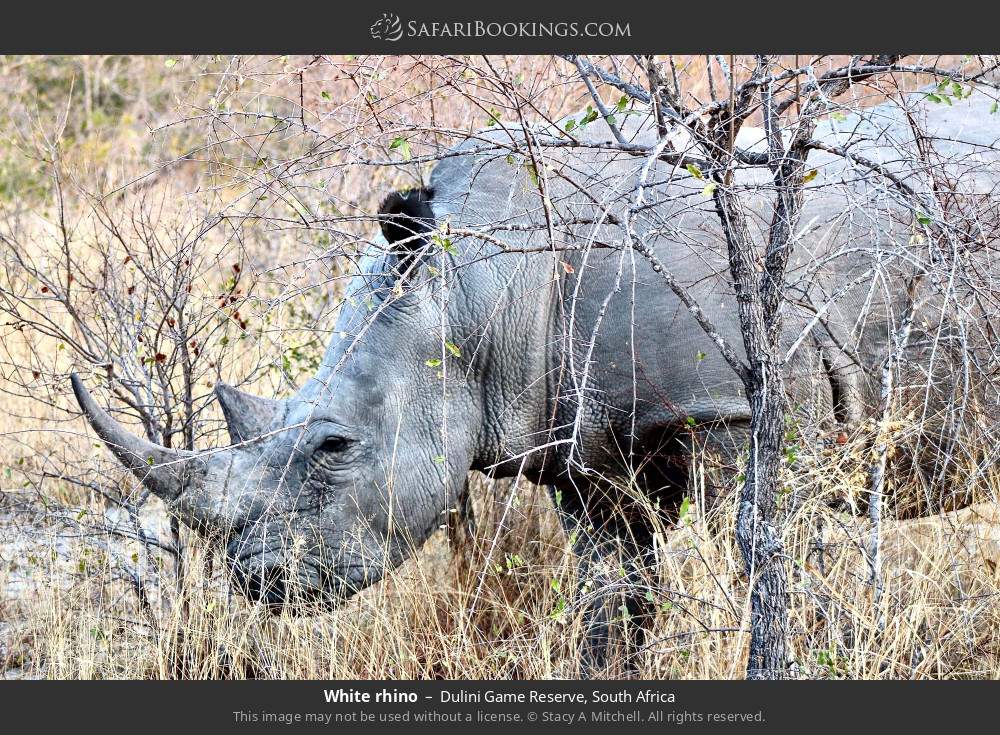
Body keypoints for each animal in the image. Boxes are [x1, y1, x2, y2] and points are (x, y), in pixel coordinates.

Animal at [72, 80, 1000, 673]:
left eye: (336, 445)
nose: (256, 578)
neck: (476, 289)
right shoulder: (580, 445)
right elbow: (610, 596)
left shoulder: (737, 407)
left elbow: (767, 553)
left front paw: (809, 652)